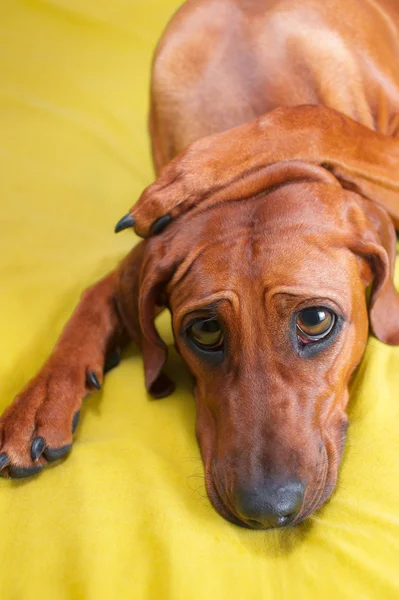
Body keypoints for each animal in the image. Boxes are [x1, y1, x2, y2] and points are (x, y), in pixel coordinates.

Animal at [2, 0, 399, 528]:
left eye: (316, 320)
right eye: (205, 330)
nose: (267, 509)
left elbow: (319, 118)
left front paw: (188, 176)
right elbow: (98, 291)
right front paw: (40, 399)